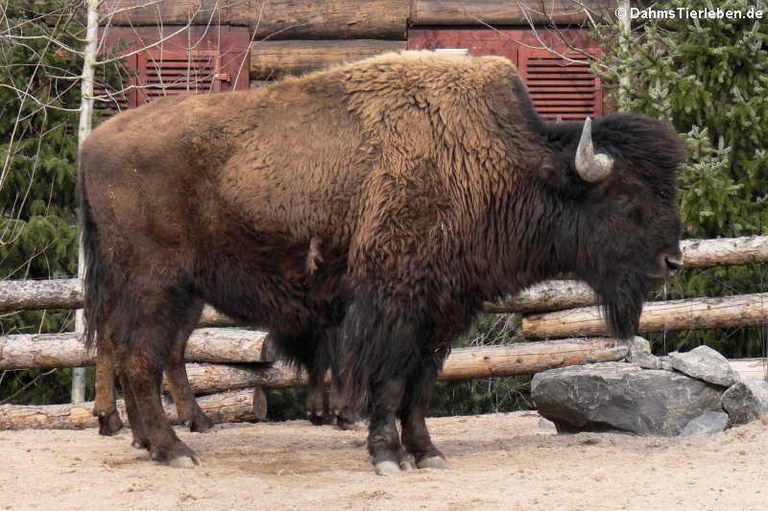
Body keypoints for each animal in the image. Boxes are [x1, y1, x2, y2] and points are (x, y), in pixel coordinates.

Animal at [78, 51, 684, 476]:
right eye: (627, 199)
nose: (673, 260)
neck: (496, 163)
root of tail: (92, 144)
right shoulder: (397, 304)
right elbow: (391, 385)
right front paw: (388, 456)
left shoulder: (443, 312)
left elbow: (420, 388)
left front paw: (428, 453)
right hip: (154, 286)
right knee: (139, 357)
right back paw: (173, 449)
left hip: (172, 292)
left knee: (140, 355)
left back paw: (151, 440)